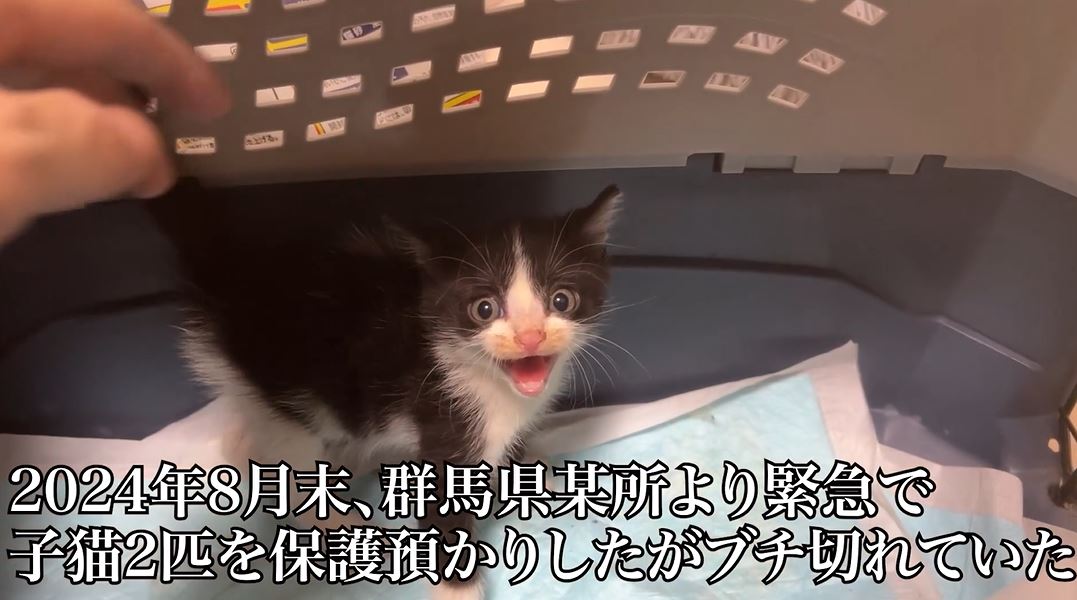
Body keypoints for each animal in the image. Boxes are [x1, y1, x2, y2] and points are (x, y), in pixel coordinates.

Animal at [179, 184, 622, 599]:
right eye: (484, 308)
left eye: (562, 300)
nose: (531, 337)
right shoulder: (446, 417)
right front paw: (458, 592)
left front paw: (537, 476)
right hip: (294, 390)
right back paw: (328, 514)